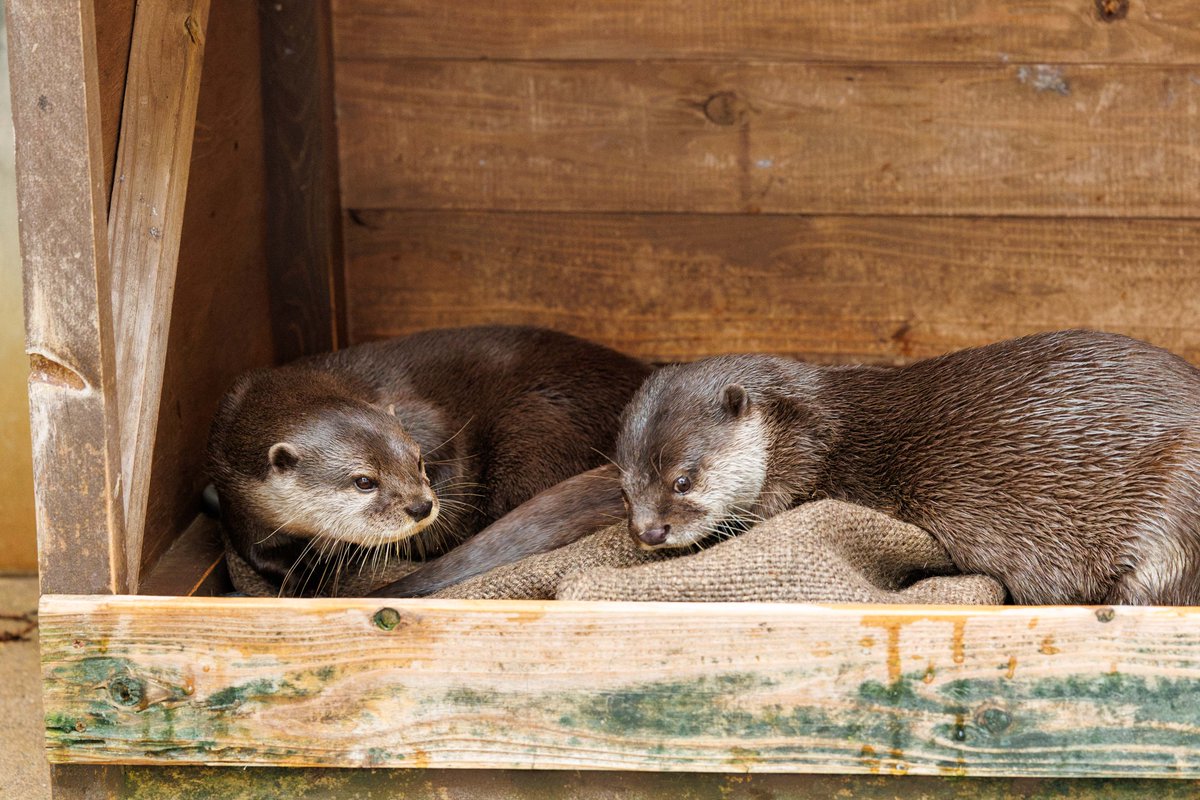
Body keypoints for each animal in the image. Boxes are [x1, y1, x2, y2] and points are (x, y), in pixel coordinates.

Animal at [208, 326, 650, 595]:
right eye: (364, 481)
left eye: (418, 461)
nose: (421, 507)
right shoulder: (236, 493)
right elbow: (257, 553)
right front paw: (305, 583)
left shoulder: (425, 419)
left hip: (537, 425)